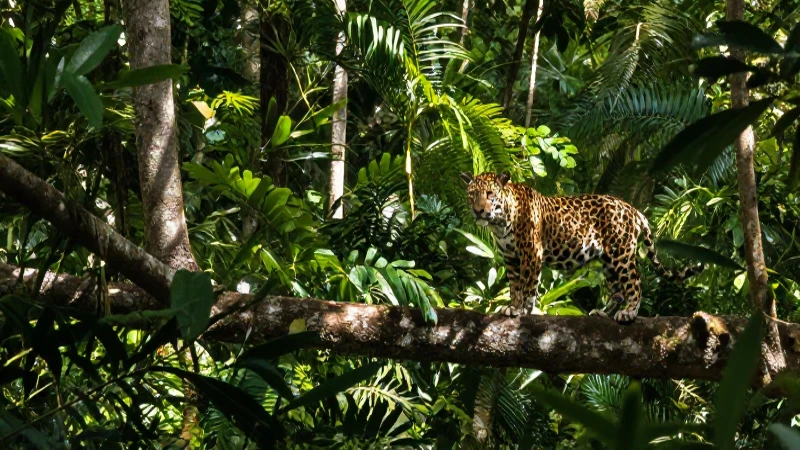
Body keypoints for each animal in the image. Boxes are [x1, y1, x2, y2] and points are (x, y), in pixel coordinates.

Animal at [461, 171, 703, 323]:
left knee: (634, 283)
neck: (500, 222)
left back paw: (629, 313)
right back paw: (603, 313)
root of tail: (632, 209)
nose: (478, 211)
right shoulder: (511, 258)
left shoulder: (531, 253)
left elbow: (528, 284)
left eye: (490, 194)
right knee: (617, 291)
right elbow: (515, 286)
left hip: (621, 254)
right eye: (472, 195)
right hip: (609, 260)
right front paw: (514, 305)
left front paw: (523, 310)